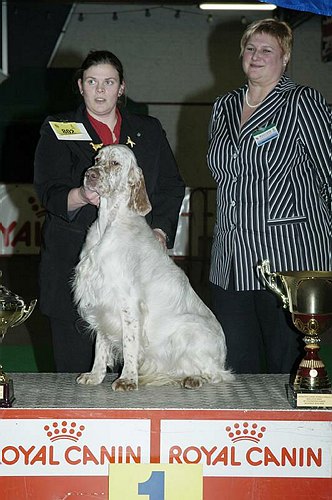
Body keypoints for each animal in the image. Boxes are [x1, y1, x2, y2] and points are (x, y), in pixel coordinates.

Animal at [72, 144, 233, 390]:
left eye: (115, 163)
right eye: (97, 159)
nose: (90, 175)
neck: (109, 223)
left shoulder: (128, 302)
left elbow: (129, 344)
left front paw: (128, 379)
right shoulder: (101, 300)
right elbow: (101, 345)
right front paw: (95, 375)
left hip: (188, 331)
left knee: (217, 374)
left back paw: (194, 378)